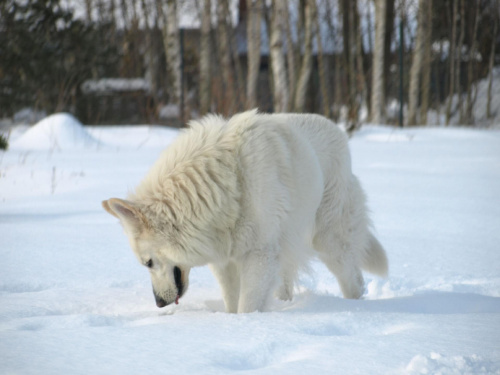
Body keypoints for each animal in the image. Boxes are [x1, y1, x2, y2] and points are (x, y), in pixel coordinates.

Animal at [103, 109, 388, 314]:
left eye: (148, 263)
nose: (159, 304)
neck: (225, 184)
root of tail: (337, 130)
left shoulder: (259, 256)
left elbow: (247, 306)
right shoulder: (225, 260)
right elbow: (232, 303)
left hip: (330, 242)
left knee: (354, 280)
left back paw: (355, 308)